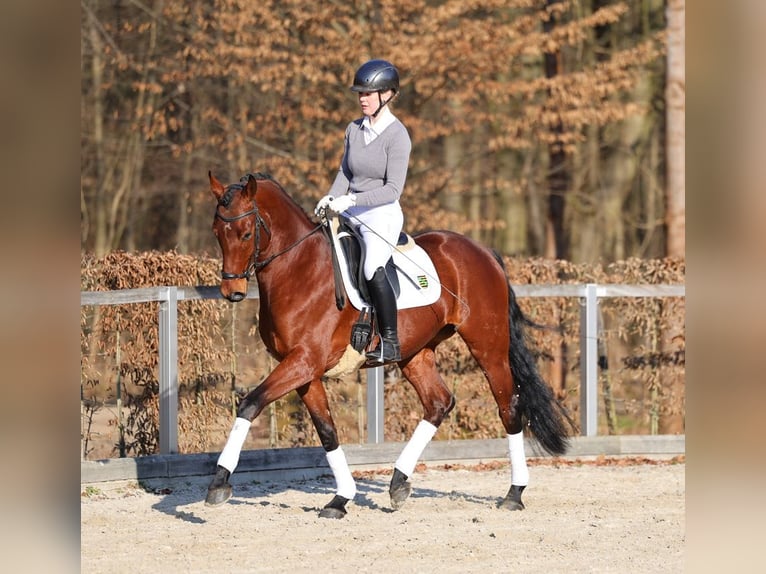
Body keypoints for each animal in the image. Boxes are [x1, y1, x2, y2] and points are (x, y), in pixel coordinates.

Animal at [205, 171, 572, 519]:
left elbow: (251, 403)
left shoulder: (304, 361)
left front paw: (219, 483)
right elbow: (327, 431)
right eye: (217, 232)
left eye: (246, 233)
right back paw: (398, 483)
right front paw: (340, 499)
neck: (299, 269)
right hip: (416, 353)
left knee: (508, 406)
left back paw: (514, 493)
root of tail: (483, 251)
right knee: (439, 403)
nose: (232, 292)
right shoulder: (304, 370)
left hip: (488, 346)